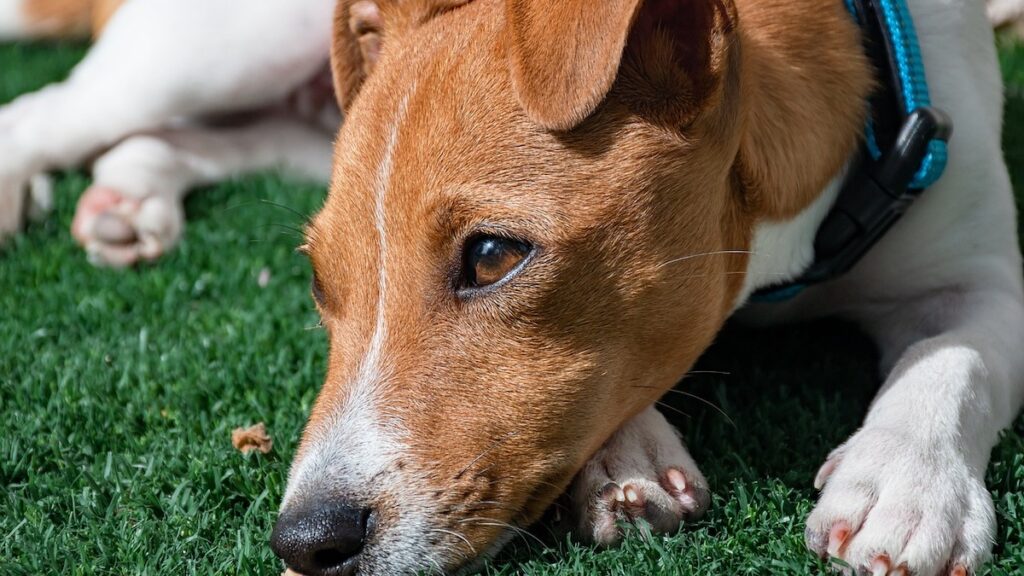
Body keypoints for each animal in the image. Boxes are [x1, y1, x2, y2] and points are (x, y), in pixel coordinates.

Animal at [2, 1, 1024, 573]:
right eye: (322, 282)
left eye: (493, 256)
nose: (302, 544)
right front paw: (627, 456)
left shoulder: (981, 274)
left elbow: (955, 360)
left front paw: (905, 485)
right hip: (225, 46)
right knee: (59, 108)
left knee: (192, 138)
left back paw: (132, 198)